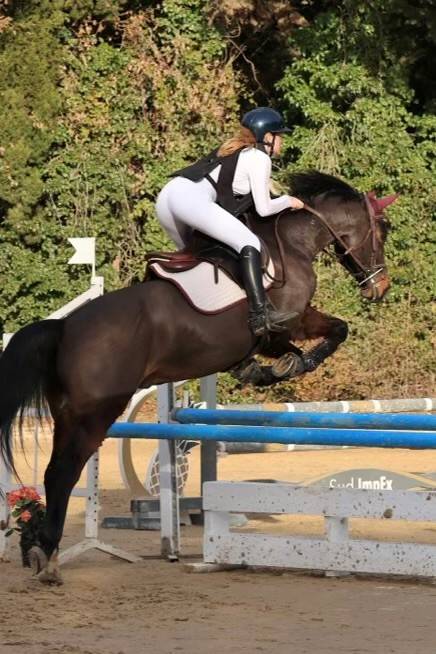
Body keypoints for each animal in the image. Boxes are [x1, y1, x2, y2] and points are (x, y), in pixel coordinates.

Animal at [0, 171, 395, 584]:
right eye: (383, 230)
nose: (380, 287)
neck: (292, 242)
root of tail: (64, 328)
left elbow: (324, 333)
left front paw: (261, 368)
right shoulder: (290, 319)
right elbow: (326, 333)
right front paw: (293, 364)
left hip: (66, 413)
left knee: (52, 473)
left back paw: (41, 550)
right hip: (96, 413)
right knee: (64, 472)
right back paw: (48, 557)